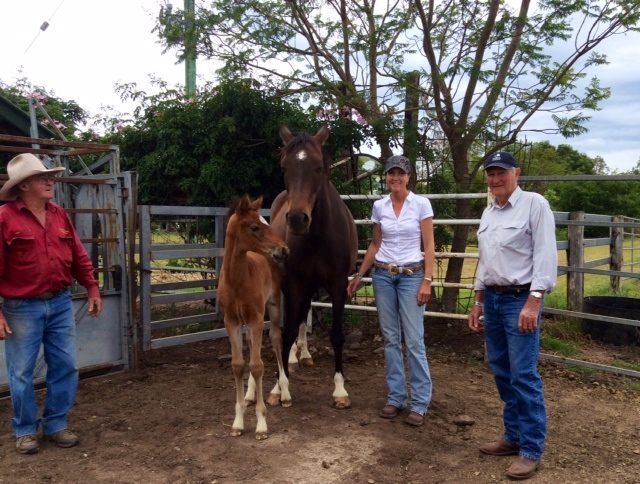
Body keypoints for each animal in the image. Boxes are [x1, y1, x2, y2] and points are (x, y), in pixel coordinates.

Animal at [218, 195, 291, 439]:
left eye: (264, 222)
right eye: (254, 227)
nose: (283, 250)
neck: (237, 280)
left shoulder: (257, 318)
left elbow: (258, 366)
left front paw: (261, 423)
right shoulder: (231, 321)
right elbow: (238, 364)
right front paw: (238, 421)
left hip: (274, 306)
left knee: (277, 339)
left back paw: (285, 393)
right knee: (251, 346)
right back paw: (250, 394)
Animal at [270, 125, 358, 409]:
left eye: (318, 167)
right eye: (284, 167)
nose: (298, 219)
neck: (318, 235)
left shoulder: (338, 286)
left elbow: (337, 335)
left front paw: (340, 390)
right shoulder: (295, 283)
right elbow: (286, 333)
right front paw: (279, 387)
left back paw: (305, 354)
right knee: (296, 319)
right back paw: (293, 358)